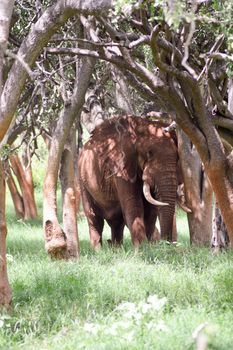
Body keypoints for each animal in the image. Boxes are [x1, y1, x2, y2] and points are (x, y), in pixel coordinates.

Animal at [78, 116, 189, 247]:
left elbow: (150, 210)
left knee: (117, 222)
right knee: (94, 218)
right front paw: (142, 247)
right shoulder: (121, 167)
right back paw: (98, 250)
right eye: (148, 154)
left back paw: (116, 248)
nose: (166, 243)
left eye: (177, 157)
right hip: (82, 180)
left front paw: (150, 246)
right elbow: (133, 204)